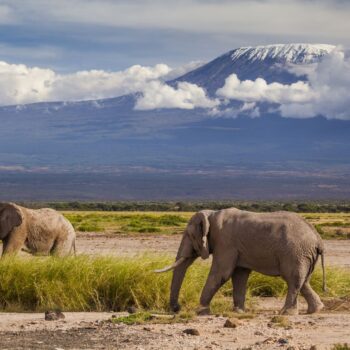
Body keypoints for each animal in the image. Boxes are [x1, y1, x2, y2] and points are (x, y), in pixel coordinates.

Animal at [156, 209, 326, 316]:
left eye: (191, 236)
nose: (176, 309)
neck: (211, 214)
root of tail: (318, 238)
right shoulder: (235, 248)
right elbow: (239, 275)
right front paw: (238, 311)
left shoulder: (226, 242)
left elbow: (221, 273)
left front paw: (201, 311)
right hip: (303, 254)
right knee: (303, 281)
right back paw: (315, 310)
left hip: (295, 252)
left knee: (293, 280)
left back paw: (286, 313)